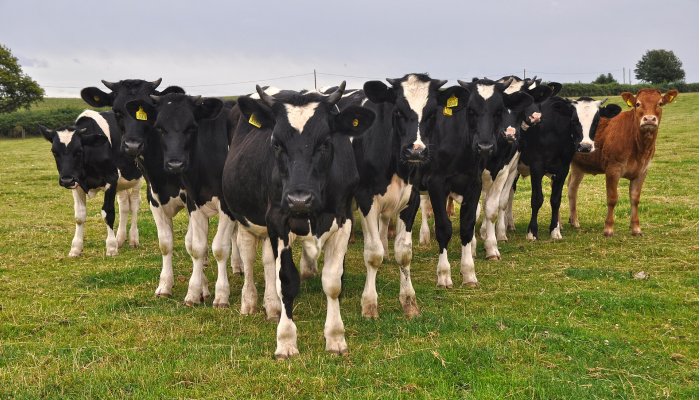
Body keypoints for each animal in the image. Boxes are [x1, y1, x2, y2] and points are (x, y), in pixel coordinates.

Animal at [41, 110, 142, 257]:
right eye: (54, 152)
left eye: (79, 151)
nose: (66, 179)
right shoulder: (77, 184)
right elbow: (79, 216)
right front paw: (75, 248)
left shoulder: (111, 180)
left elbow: (108, 213)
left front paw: (111, 247)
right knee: (124, 205)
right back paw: (120, 238)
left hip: (137, 178)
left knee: (134, 204)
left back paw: (133, 239)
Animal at [124, 94, 236, 307]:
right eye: (159, 127)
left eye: (191, 127)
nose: (175, 163)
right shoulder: (179, 202)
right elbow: (186, 245)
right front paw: (181, 289)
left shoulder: (227, 206)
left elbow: (218, 248)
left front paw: (220, 295)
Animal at [222, 83, 375, 358]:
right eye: (276, 143)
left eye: (325, 143)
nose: (299, 199)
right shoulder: (278, 219)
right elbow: (287, 281)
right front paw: (285, 340)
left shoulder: (343, 218)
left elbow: (332, 282)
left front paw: (335, 337)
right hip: (246, 217)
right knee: (248, 257)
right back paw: (249, 302)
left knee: (267, 261)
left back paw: (272, 307)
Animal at [517, 96, 622, 240]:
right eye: (574, 120)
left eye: (596, 120)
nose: (585, 146)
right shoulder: (536, 167)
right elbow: (537, 199)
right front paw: (532, 232)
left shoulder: (563, 169)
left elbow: (555, 200)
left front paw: (554, 231)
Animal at [568, 89, 678, 236]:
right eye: (638, 104)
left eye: (660, 103)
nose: (649, 119)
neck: (639, 147)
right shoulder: (613, 169)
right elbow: (612, 198)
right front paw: (608, 228)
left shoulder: (642, 171)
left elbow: (635, 199)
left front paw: (636, 228)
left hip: (578, 165)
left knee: (572, 188)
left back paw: (574, 221)